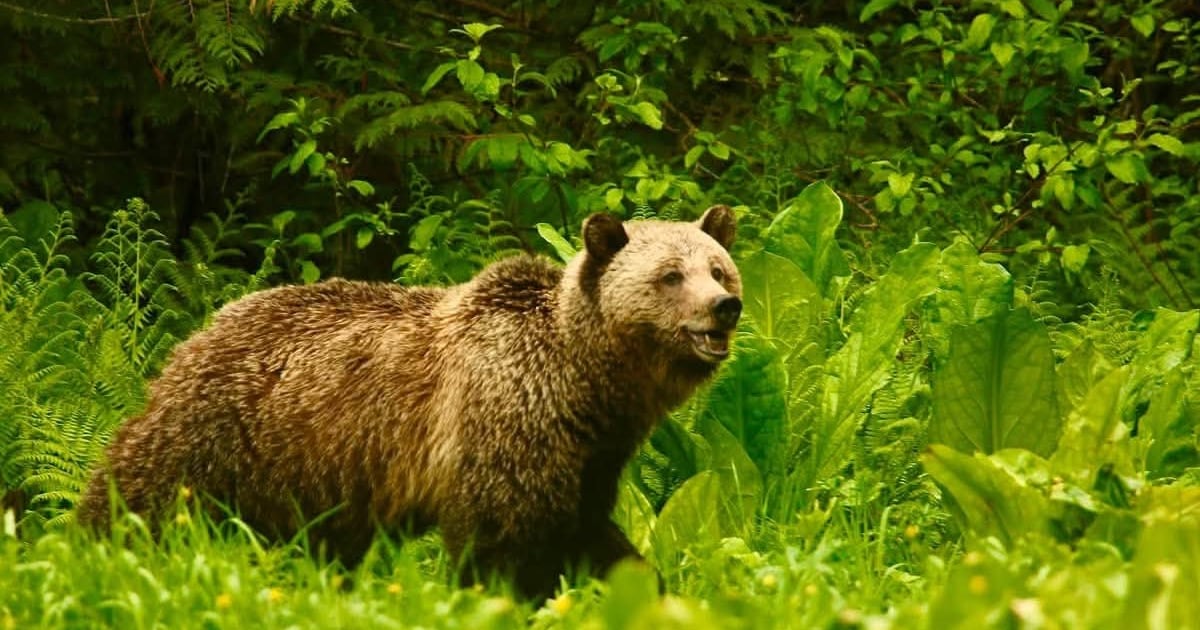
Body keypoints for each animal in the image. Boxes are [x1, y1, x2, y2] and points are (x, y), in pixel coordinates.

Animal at [77, 206, 743, 598]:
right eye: (670, 275)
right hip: (220, 430)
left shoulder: (590, 455)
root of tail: (196, 331)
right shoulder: (502, 418)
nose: (725, 307)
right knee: (139, 496)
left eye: (718, 269)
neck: (586, 378)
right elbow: (501, 541)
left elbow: (593, 536)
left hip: (309, 471)